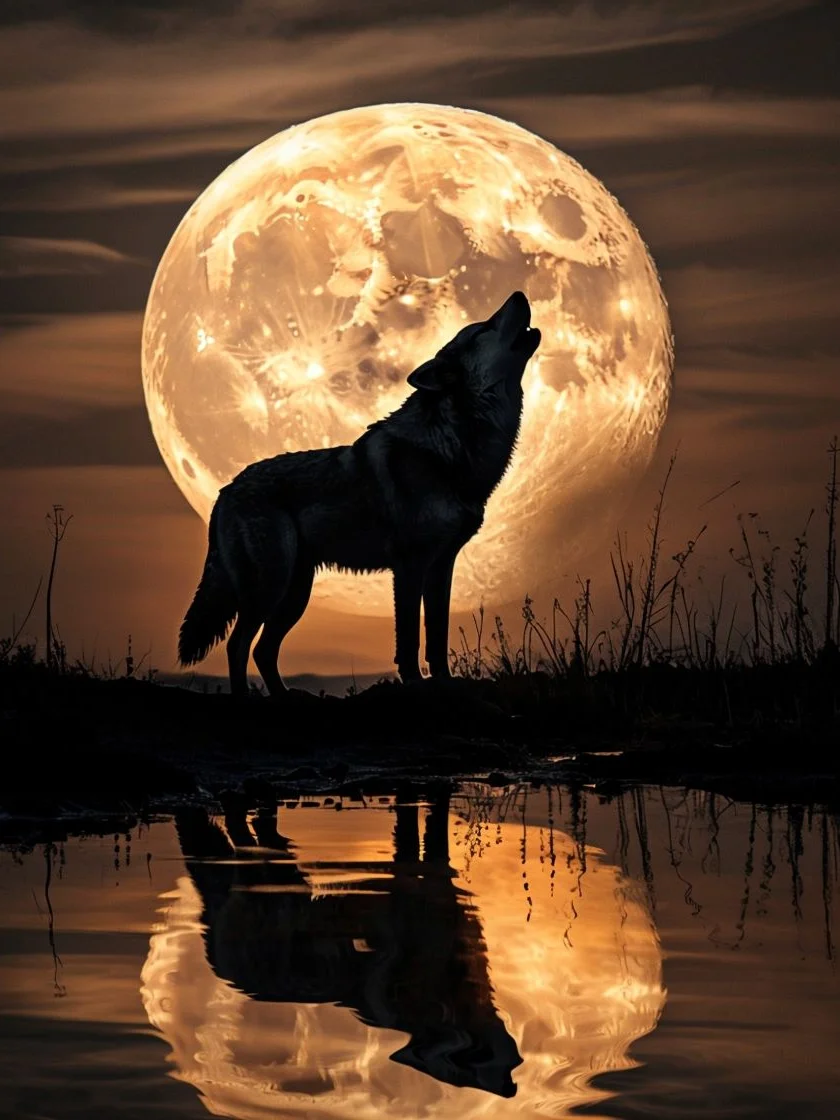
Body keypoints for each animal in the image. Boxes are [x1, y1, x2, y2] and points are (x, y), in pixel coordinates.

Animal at [178, 290, 540, 696]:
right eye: (483, 329)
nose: (519, 294)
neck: (448, 449)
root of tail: (224, 491)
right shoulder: (410, 566)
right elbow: (409, 638)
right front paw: (414, 683)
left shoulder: (442, 565)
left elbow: (437, 635)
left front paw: (445, 682)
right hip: (272, 586)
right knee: (238, 645)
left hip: (295, 593)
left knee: (262, 650)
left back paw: (285, 697)